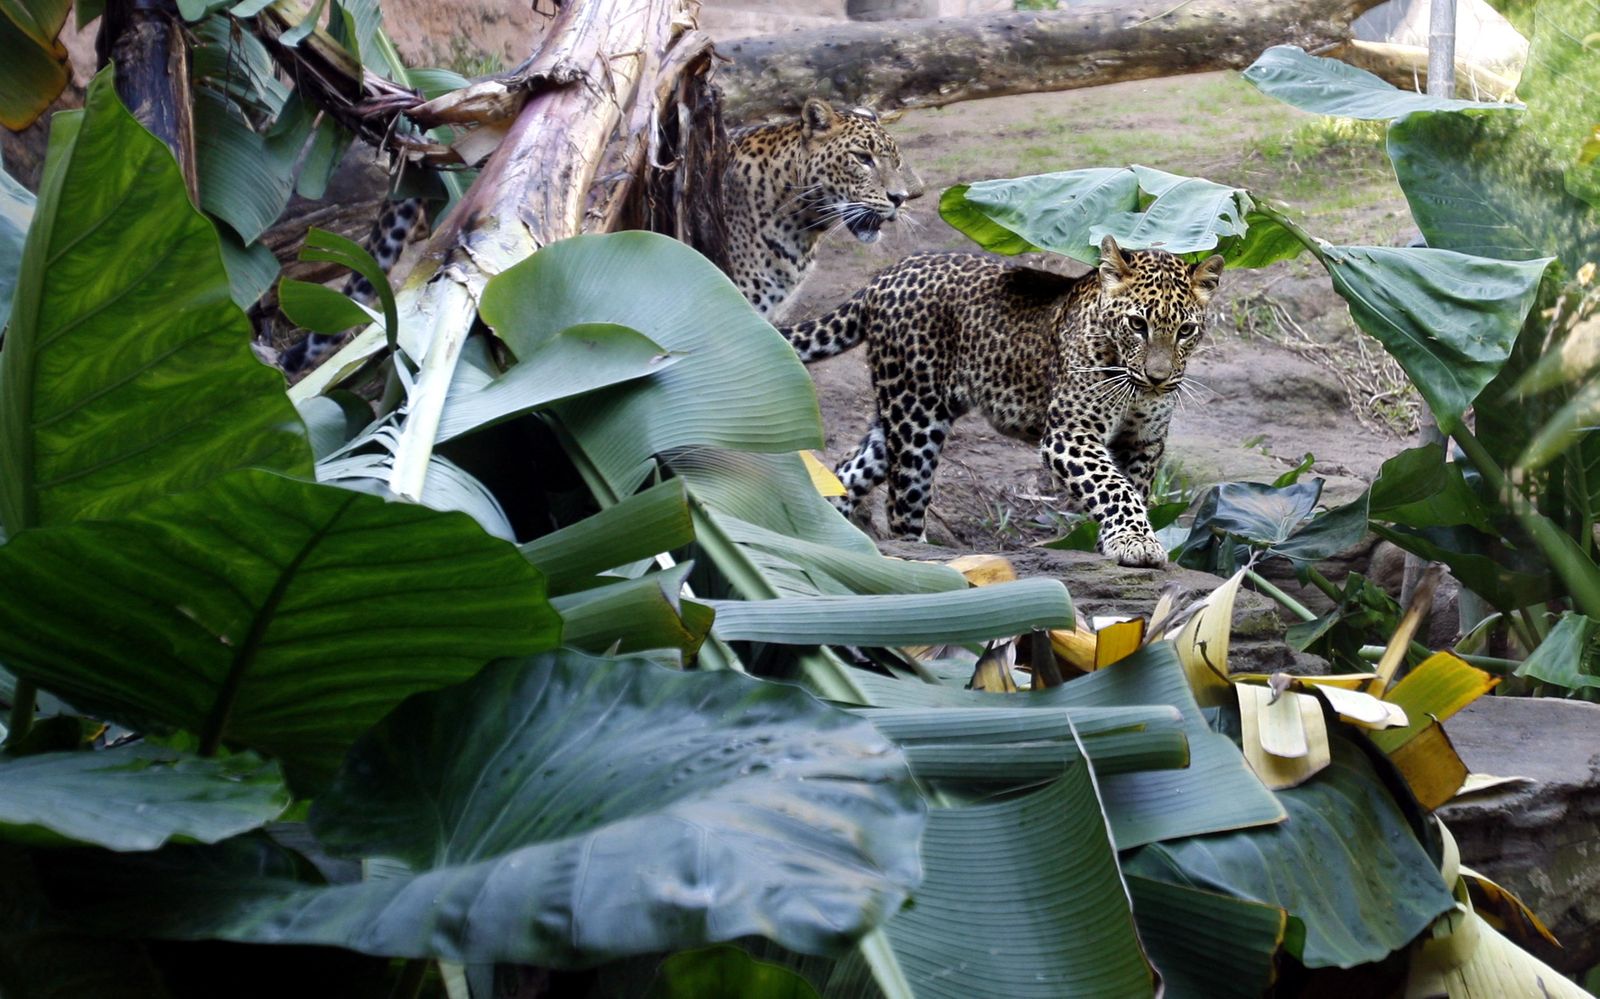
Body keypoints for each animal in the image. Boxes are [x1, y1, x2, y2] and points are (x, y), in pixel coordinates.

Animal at [782, 236, 1225, 567]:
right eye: (1137, 324)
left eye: (1186, 330)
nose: (1158, 378)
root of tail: (887, 273)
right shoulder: (1070, 434)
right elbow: (1113, 487)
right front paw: (1137, 543)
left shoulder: (1144, 442)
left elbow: (1134, 489)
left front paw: (1114, 545)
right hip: (916, 417)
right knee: (901, 505)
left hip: (900, 413)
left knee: (848, 470)